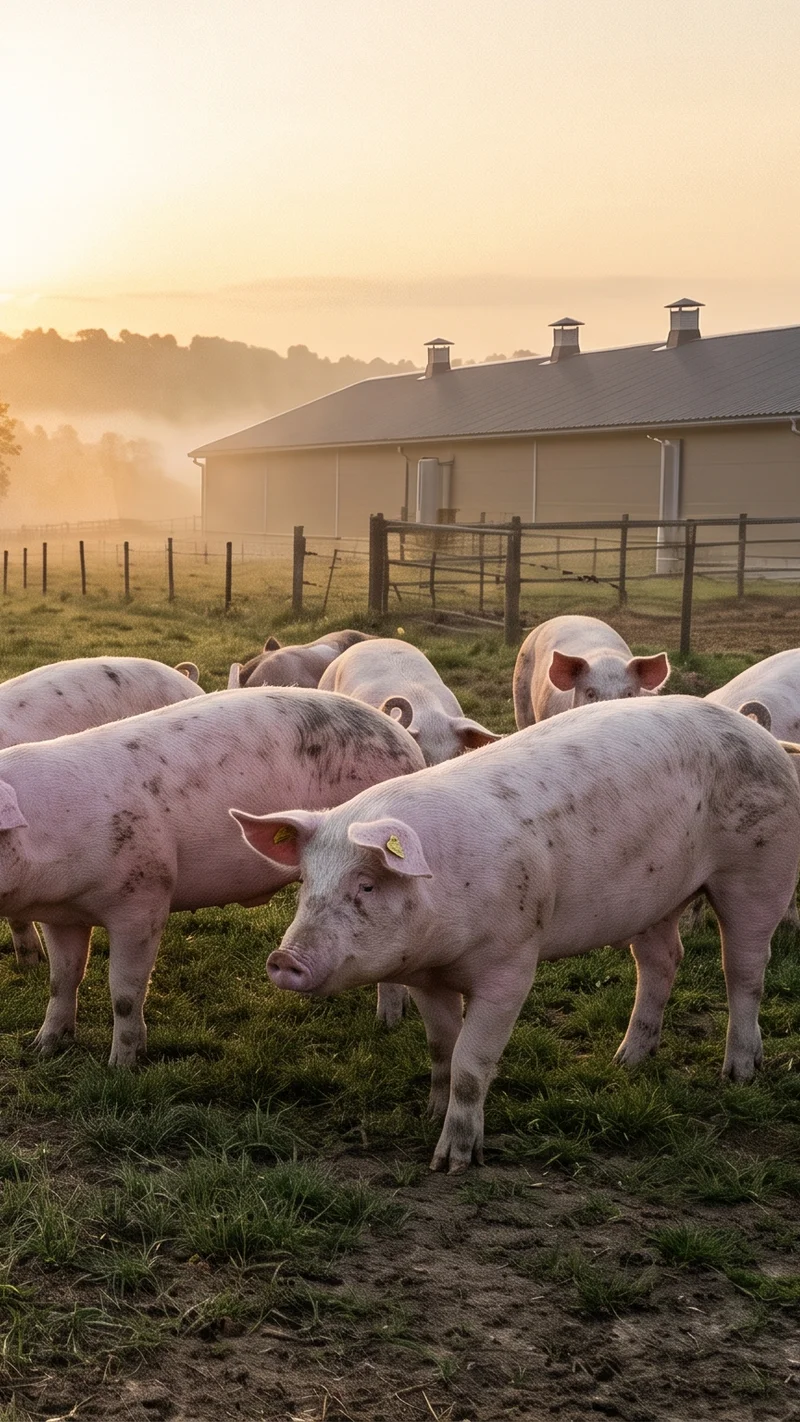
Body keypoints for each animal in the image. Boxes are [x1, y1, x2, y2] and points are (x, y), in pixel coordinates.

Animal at [232, 697, 800, 1174]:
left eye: (367, 884)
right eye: (306, 882)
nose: (284, 960)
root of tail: (761, 735)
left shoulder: (512, 964)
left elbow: (471, 1062)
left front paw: (452, 1163)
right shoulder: (424, 975)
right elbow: (441, 1048)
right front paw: (429, 1113)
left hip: (759, 870)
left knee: (744, 968)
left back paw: (738, 1073)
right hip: (656, 898)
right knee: (662, 960)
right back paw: (626, 1061)